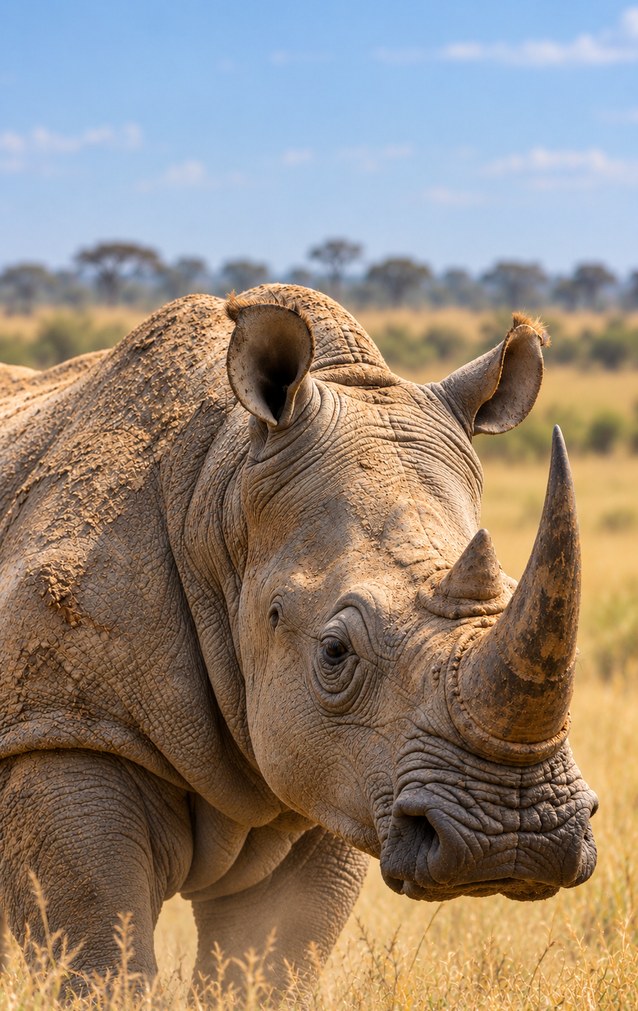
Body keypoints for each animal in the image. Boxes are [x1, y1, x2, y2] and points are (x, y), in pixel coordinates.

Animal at [0, 286, 597, 992]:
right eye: (334, 652)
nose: (514, 835)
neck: (220, 492)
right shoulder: (59, 726)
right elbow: (101, 962)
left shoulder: (342, 774)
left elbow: (267, 965)